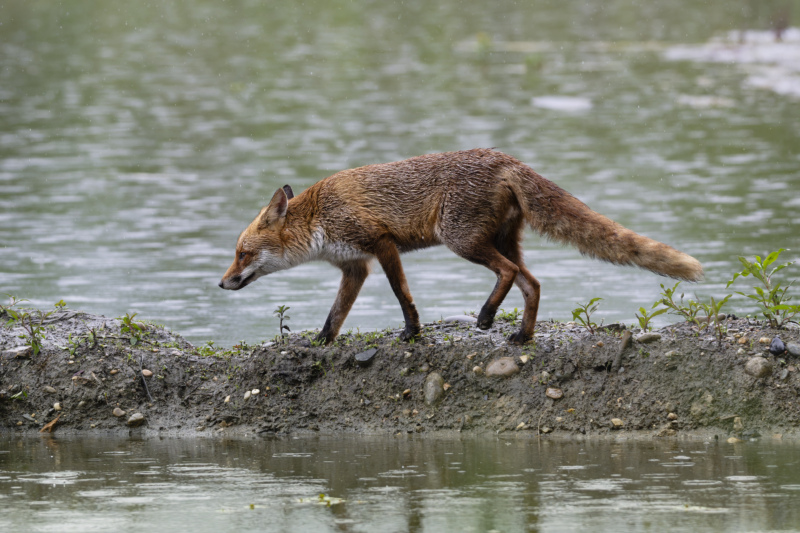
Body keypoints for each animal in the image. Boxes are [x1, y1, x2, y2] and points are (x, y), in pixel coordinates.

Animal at [219, 148, 703, 345]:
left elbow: (402, 296)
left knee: (510, 273)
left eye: (242, 253)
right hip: (501, 241)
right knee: (532, 282)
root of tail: (506, 158)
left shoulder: (380, 244)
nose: (222, 284)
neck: (320, 216)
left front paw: (412, 332)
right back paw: (521, 336)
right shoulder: (355, 267)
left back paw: (488, 317)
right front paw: (319, 344)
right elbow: (335, 315)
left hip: (461, 240)